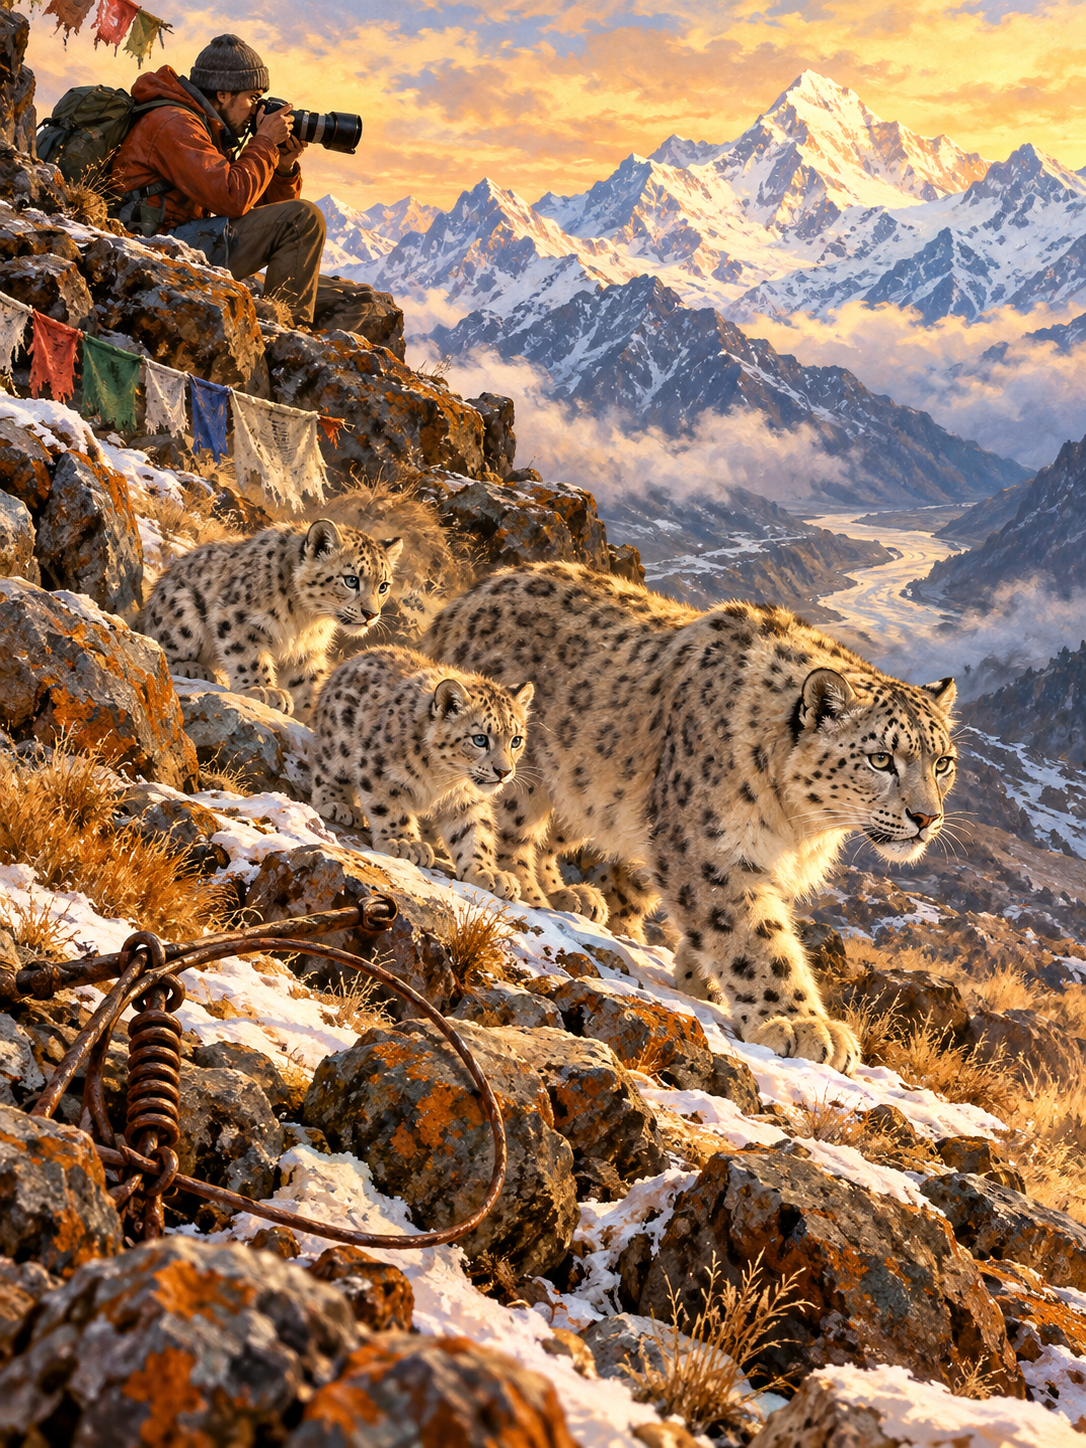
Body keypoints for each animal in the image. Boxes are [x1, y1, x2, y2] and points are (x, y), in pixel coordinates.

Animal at [142, 520, 403, 720]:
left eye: (383, 586)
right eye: (351, 580)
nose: (371, 615)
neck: (307, 619)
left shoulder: (308, 648)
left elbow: (307, 680)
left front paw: (310, 714)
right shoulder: (237, 617)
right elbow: (250, 657)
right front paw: (265, 690)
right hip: (182, 611)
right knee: (156, 642)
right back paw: (194, 668)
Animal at [311, 644, 534, 899]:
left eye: (516, 740)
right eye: (480, 739)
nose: (504, 771)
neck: (445, 778)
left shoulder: (468, 799)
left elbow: (475, 831)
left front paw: (488, 873)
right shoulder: (380, 770)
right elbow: (390, 808)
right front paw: (404, 843)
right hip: (337, 744)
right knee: (326, 770)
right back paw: (339, 804)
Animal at [422, 562, 959, 1072]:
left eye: (943, 762)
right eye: (881, 759)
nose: (926, 817)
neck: (799, 827)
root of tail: (464, 599)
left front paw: (696, 979)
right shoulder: (708, 847)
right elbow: (753, 936)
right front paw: (800, 1023)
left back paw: (567, 894)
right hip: (516, 773)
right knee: (505, 830)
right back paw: (526, 891)